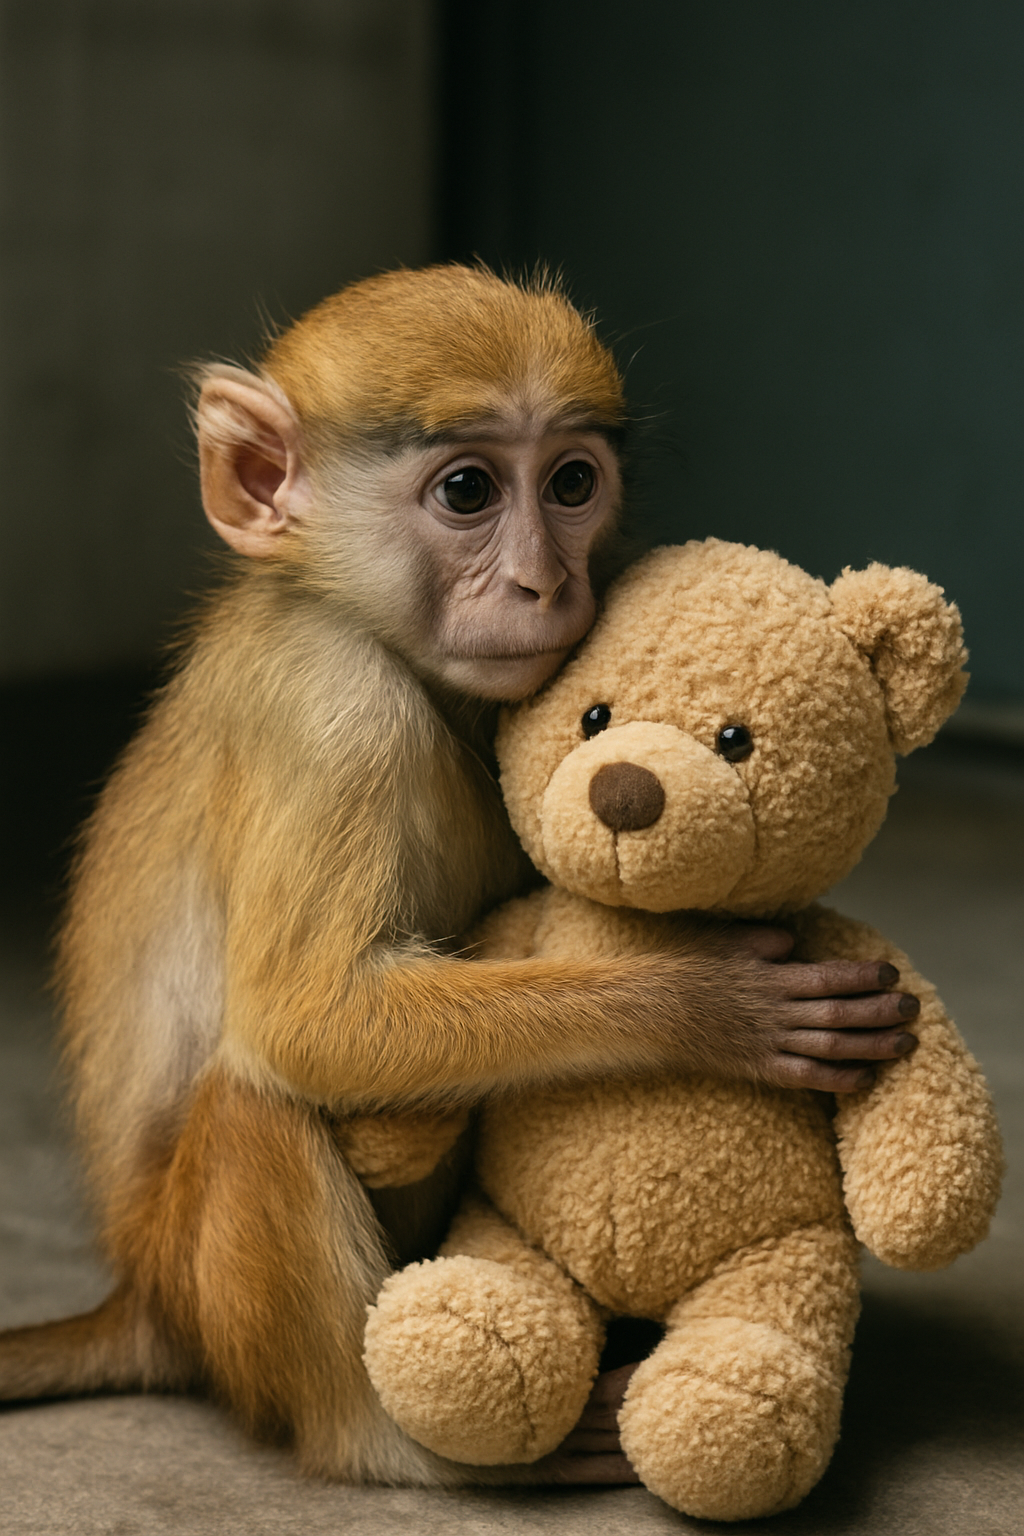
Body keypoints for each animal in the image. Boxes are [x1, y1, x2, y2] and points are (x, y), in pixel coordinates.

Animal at [0, 266, 920, 1486]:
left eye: (572, 482)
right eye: (470, 490)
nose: (541, 581)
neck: (338, 613)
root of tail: (143, 1298)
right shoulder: (335, 715)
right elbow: (308, 1023)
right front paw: (704, 1003)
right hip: (201, 1282)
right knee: (257, 1099)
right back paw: (427, 1447)